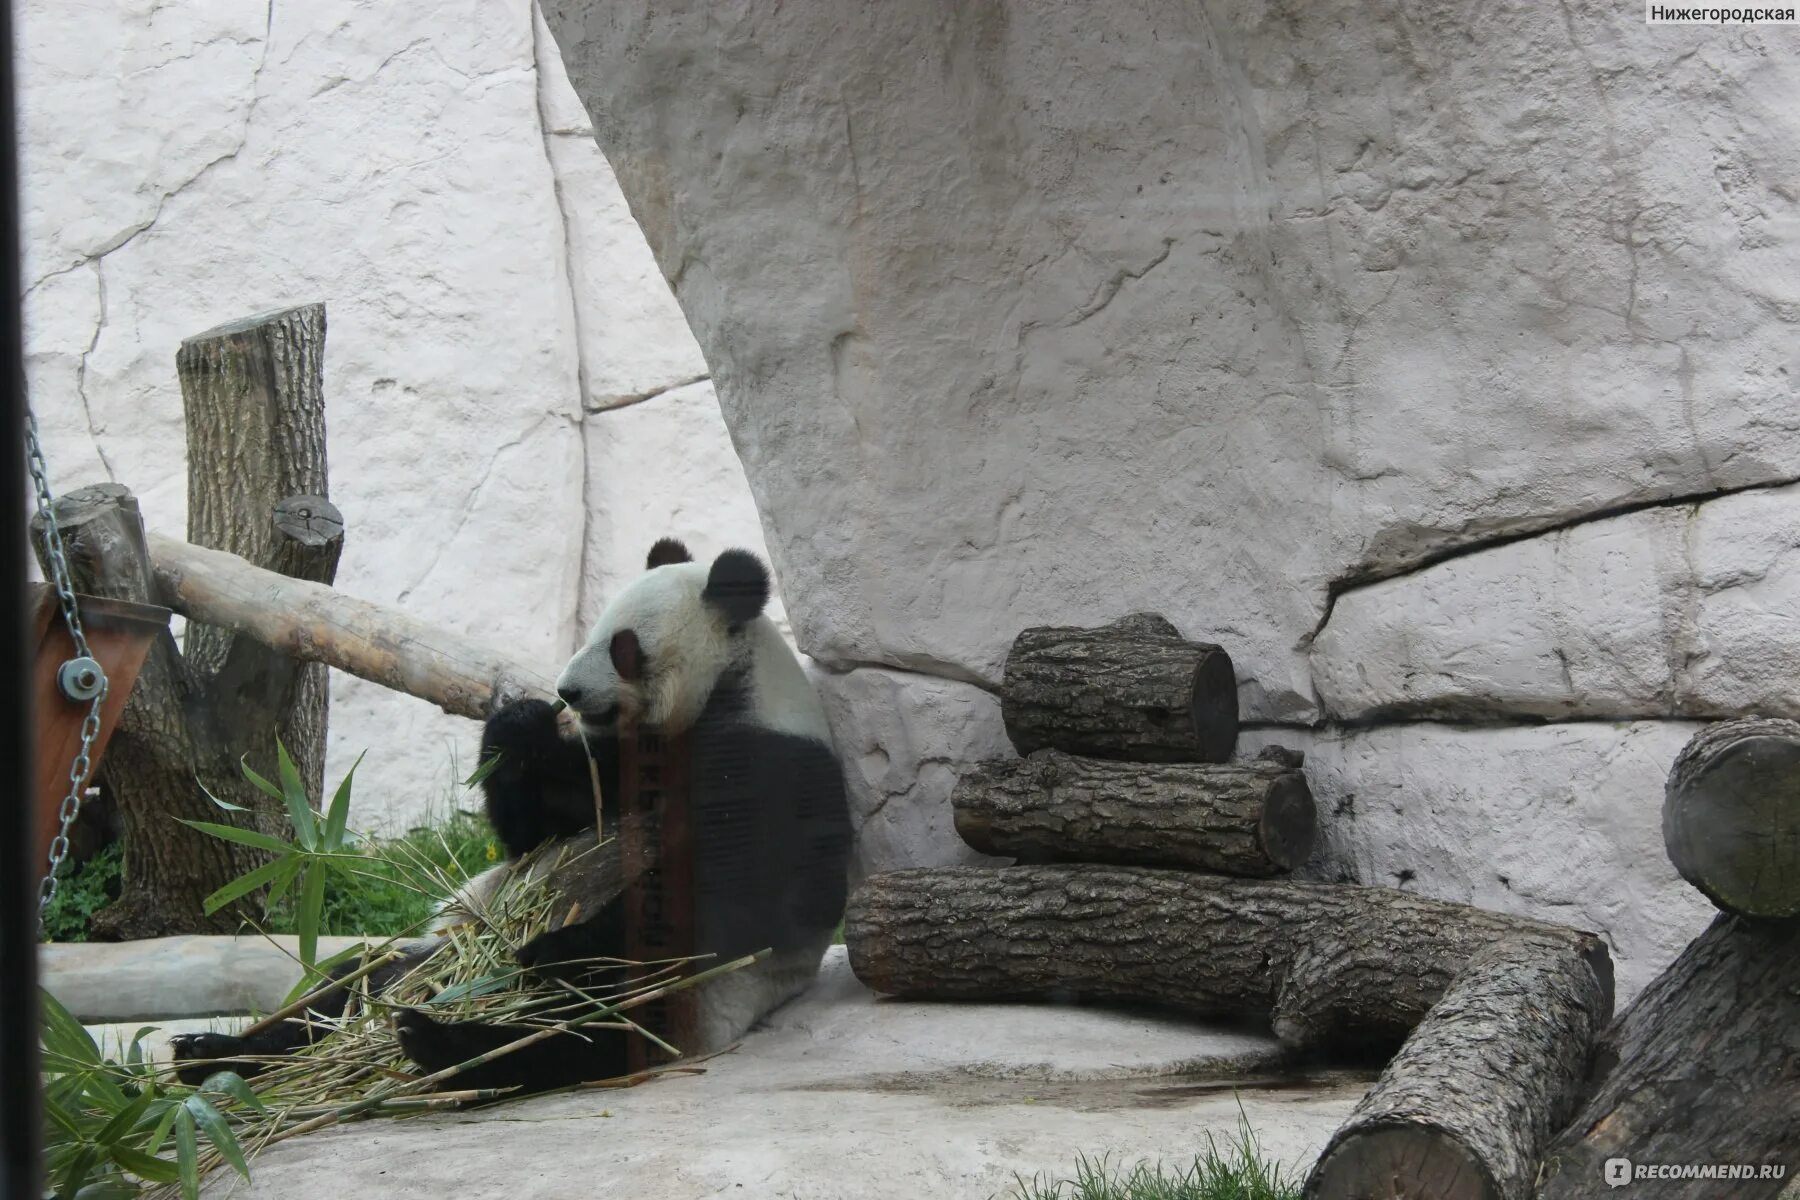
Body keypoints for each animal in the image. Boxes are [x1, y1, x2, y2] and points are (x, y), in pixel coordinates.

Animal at [177, 539, 856, 1093]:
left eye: (623, 647)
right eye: (592, 630)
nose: (567, 692)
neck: (723, 693)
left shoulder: (777, 765)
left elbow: (736, 896)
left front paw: (555, 947)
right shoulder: (616, 761)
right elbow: (539, 831)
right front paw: (519, 722)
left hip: (680, 999)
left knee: (584, 1032)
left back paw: (445, 1043)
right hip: (430, 957)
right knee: (356, 984)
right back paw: (217, 1055)